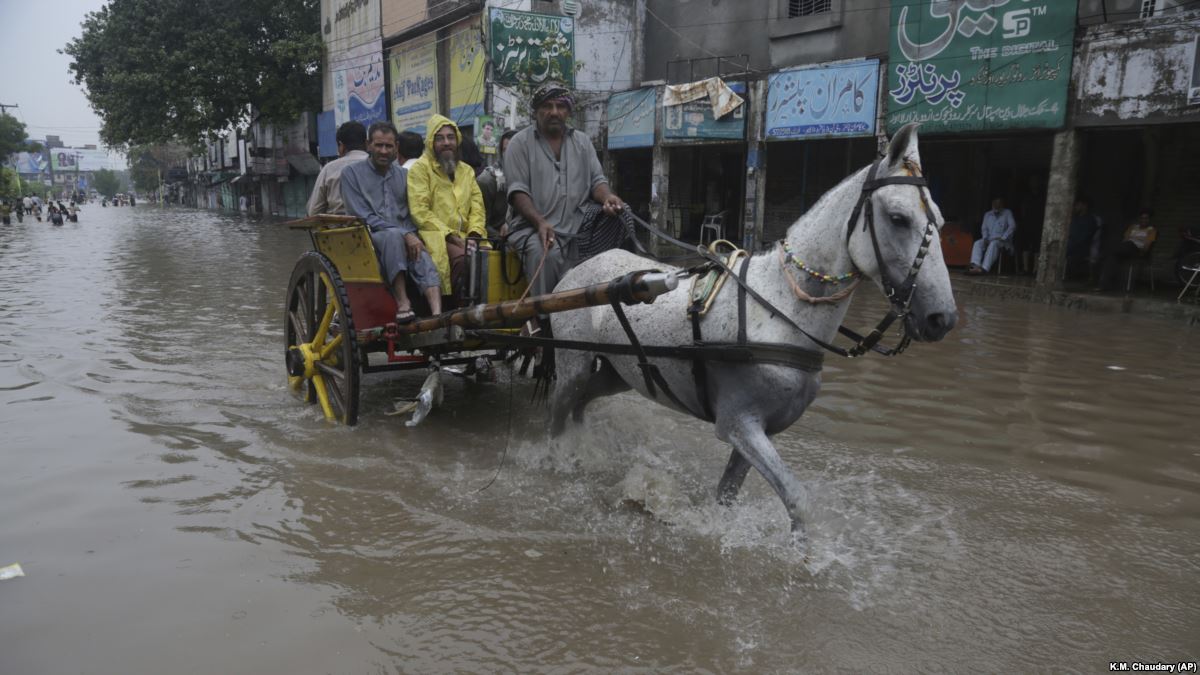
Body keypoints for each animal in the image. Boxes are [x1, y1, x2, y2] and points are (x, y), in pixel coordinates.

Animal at [549, 121, 955, 540]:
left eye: (940, 222)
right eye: (898, 218)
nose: (940, 318)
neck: (780, 308)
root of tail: (579, 270)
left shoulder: (761, 429)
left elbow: (728, 493)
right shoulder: (738, 424)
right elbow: (798, 500)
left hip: (617, 372)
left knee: (582, 403)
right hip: (572, 363)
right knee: (557, 414)